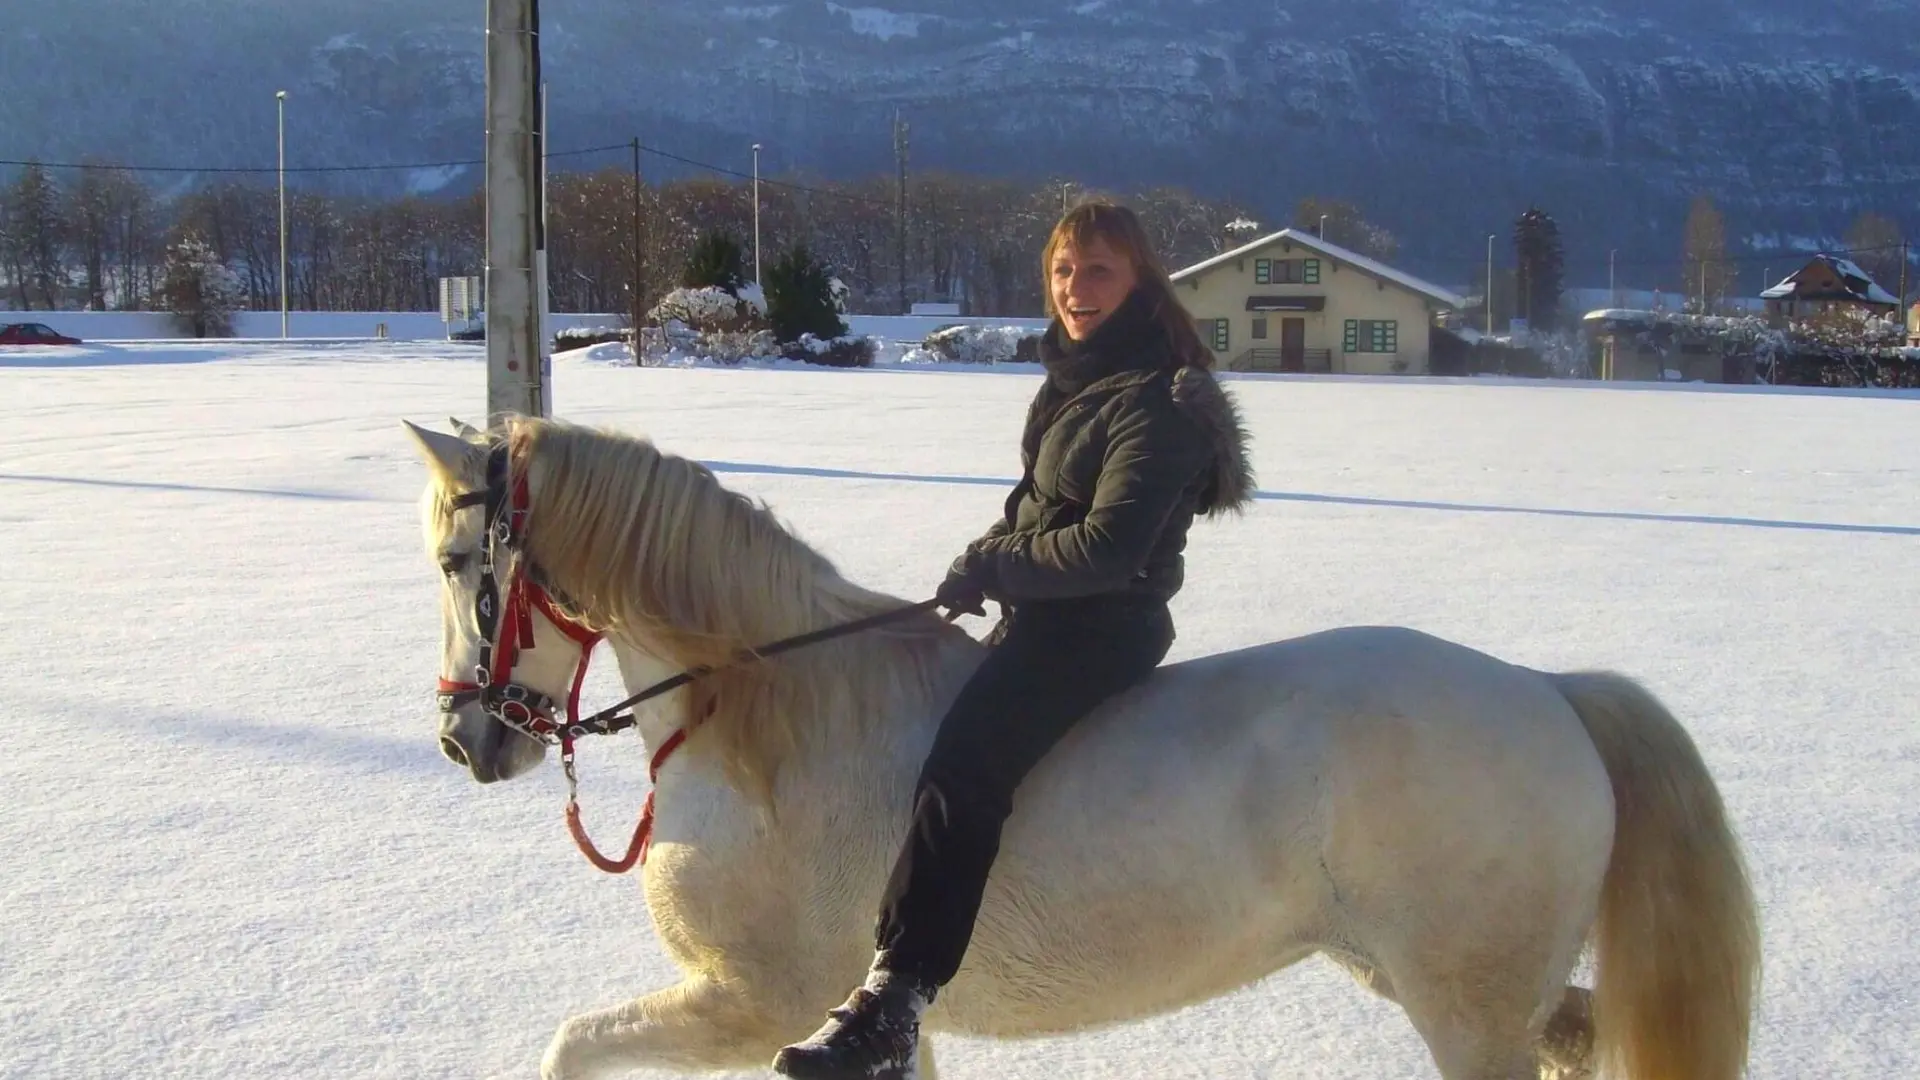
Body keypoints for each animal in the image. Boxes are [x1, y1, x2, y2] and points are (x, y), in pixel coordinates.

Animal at [401, 414, 1760, 1080]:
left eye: (462, 562)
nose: (467, 741)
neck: (773, 730)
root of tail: (1549, 692)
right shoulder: (856, 1022)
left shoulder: (746, 1004)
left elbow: (567, 1053)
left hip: (1464, 1007)